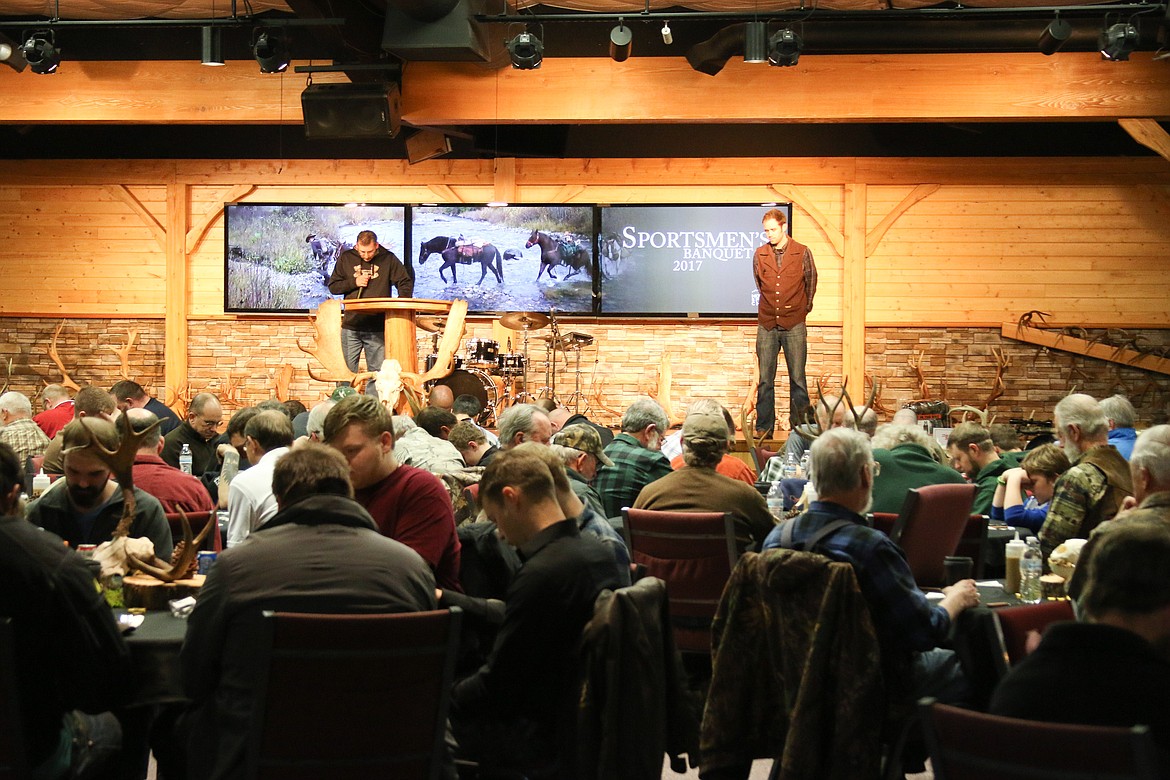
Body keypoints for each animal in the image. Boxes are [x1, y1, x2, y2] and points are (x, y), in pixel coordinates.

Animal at [409, 204, 594, 313]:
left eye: (422, 251)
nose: (419, 261)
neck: (447, 244)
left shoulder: (448, 262)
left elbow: (441, 270)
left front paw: (445, 280)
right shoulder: (452, 263)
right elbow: (453, 274)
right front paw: (452, 282)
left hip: (485, 262)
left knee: (487, 273)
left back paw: (479, 284)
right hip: (488, 263)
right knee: (494, 272)